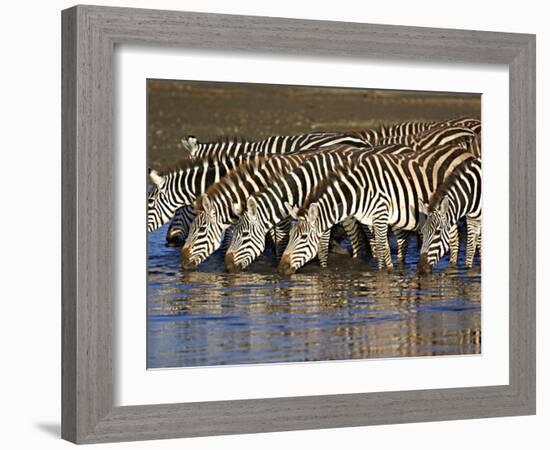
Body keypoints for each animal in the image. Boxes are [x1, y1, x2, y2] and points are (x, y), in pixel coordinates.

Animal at [280, 144, 478, 274]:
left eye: (304, 237)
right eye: (290, 236)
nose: (281, 268)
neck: (358, 192)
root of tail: (462, 150)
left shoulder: (381, 214)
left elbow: (382, 248)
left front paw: (385, 274)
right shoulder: (371, 219)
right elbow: (381, 246)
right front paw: (386, 269)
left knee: (457, 239)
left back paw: (454, 267)